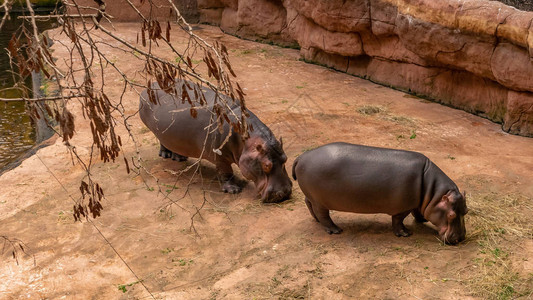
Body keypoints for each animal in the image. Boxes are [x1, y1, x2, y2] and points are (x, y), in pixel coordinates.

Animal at [138, 81, 290, 203]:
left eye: (285, 159)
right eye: (266, 165)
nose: (284, 194)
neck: (247, 142)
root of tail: (149, 86)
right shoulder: (219, 157)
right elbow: (226, 172)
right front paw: (233, 190)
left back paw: (180, 157)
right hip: (158, 133)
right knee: (162, 142)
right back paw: (166, 155)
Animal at [290, 142, 466, 244]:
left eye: (466, 211)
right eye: (451, 215)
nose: (461, 238)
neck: (433, 193)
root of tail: (301, 156)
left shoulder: (417, 202)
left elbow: (417, 211)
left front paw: (421, 219)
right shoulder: (403, 207)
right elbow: (398, 220)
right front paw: (405, 234)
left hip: (312, 196)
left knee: (309, 204)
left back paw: (316, 220)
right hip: (320, 201)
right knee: (324, 215)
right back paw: (335, 230)